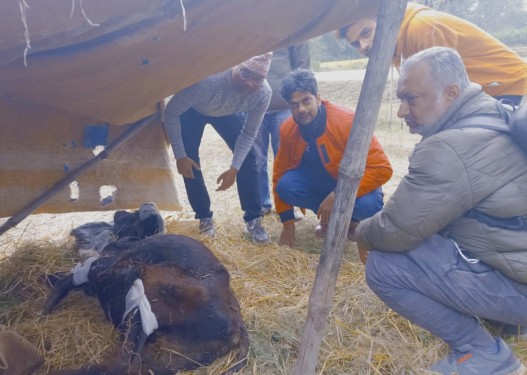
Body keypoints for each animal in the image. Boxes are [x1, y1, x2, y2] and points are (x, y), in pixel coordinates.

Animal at [43, 204, 250, 374]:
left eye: (131, 216)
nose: (118, 212)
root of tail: (238, 326)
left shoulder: (103, 266)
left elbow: (71, 278)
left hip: (150, 285)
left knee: (122, 363)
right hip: (169, 358)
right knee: (136, 364)